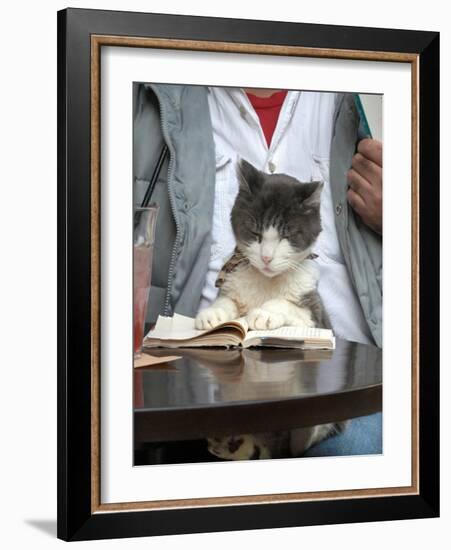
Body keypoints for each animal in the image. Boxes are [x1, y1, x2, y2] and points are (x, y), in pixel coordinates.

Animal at [195, 160, 346, 462]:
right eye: (255, 233)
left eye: (287, 234)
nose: (265, 257)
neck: (266, 283)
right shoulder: (233, 282)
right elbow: (228, 300)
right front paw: (213, 315)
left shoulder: (316, 312)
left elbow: (289, 305)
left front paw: (263, 314)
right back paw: (228, 442)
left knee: (306, 439)